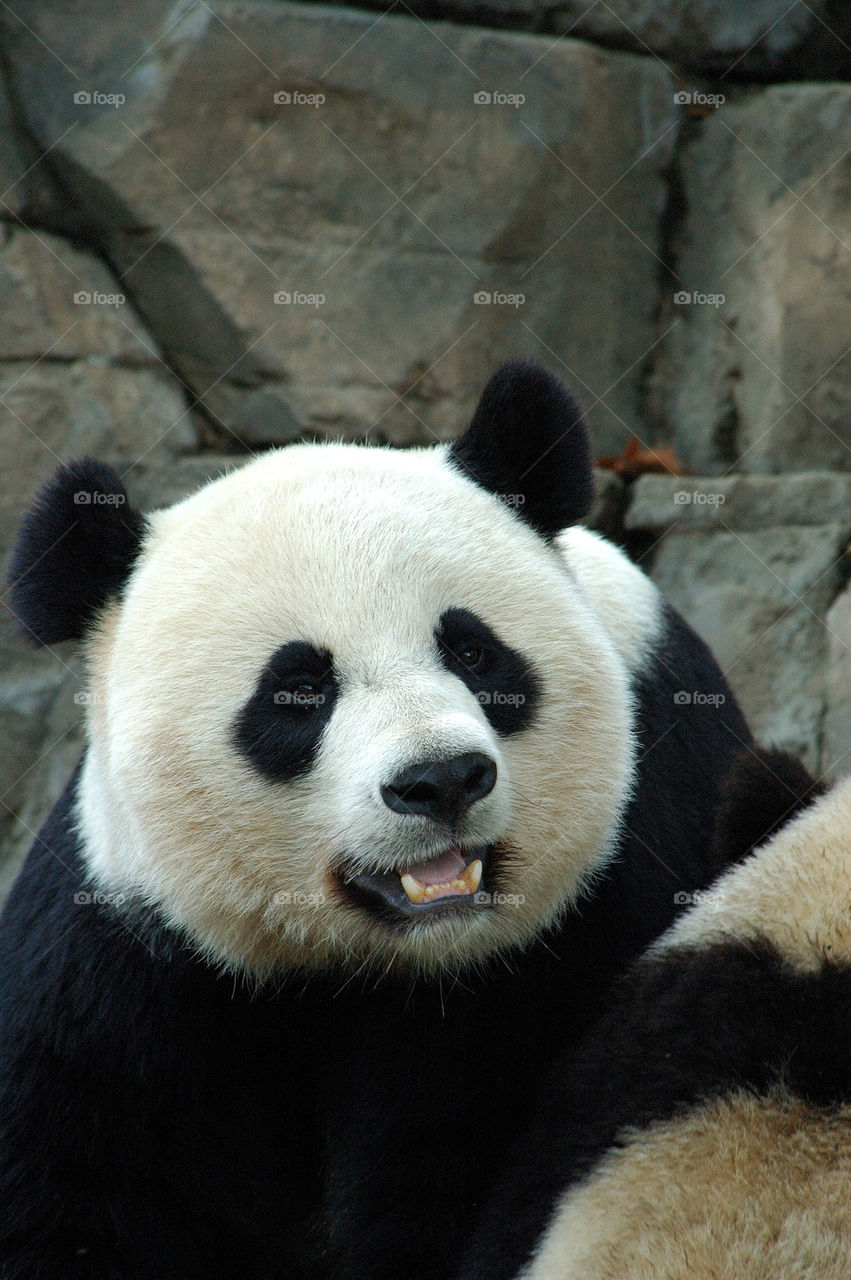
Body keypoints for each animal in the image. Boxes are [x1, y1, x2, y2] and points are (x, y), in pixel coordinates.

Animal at [0, 360, 750, 1280]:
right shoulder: (133, 948)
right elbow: (79, 1179)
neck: (367, 961)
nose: (441, 780)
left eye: (472, 651)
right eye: (298, 688)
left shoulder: (608, 887)